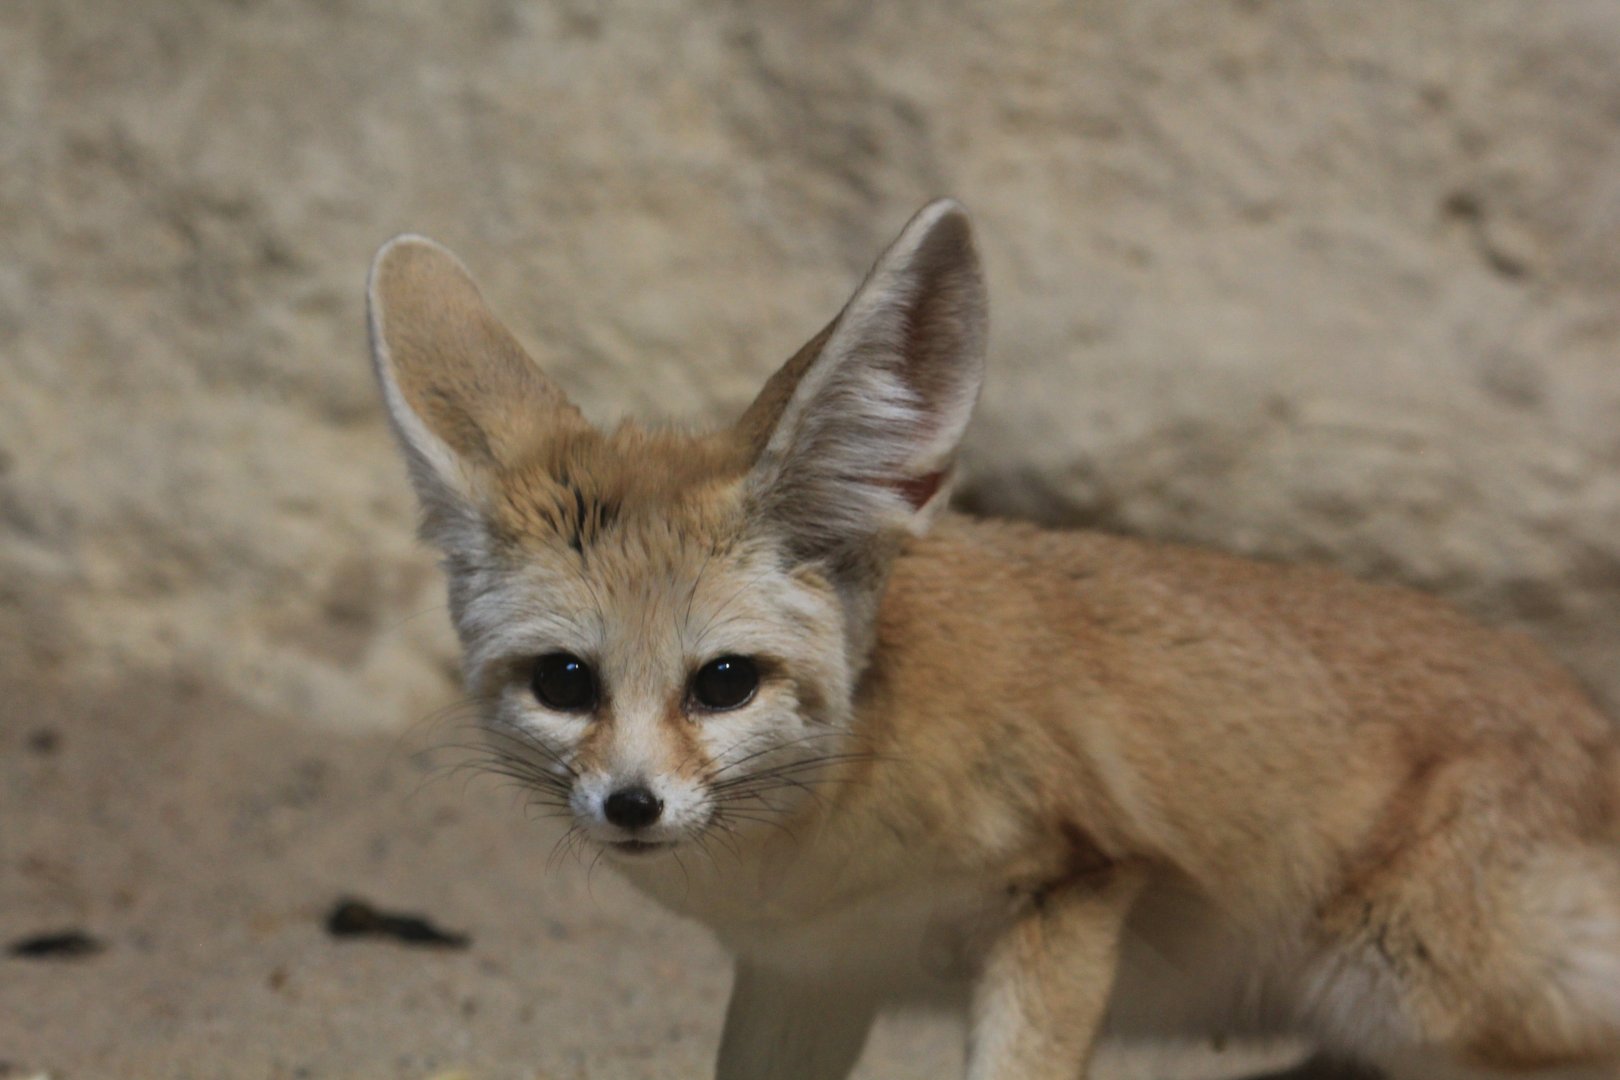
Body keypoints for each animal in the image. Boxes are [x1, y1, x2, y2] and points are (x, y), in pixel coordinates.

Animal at [365, 200, 1620, 1080]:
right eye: (564, 681)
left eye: (722, 682)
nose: (631, 806)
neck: (815, 843)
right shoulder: (806, 972)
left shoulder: (1071, 888)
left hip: (1416, 997)